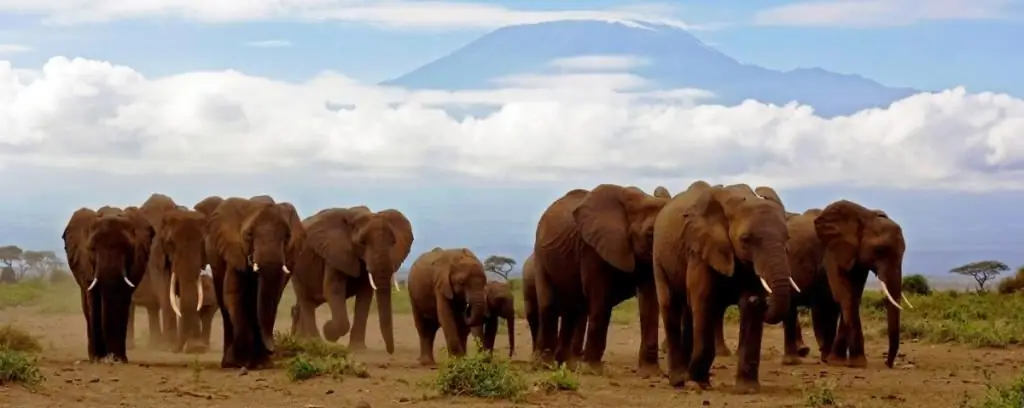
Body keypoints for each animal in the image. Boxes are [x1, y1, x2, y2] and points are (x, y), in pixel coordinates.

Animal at [61, 207, 152, 360]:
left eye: (128, 248)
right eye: (91, 248)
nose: (110, 357)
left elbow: (122, 300)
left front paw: (119, 359)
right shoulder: (85, 264)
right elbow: (92, 299)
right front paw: (98, 359)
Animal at [203, 195, 299, 369]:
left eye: (288, 236)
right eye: (249, 235)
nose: (273, 349)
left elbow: (273, 298)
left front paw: (261, 364)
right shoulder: (234, 252)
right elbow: (234, 294)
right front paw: (239, 362)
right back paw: (228, 363)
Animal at [288, 206, 411, 352]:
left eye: (393, 242)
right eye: (362, 242)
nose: (390, 351)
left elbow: (365, 295)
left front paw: (359, 349)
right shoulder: (335, 252)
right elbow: (334, 290)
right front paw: (328, 332)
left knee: (309, 303)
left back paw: (302, 340)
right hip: (296, 267)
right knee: (306, 300)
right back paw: (315, 342)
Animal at [532, 184, 667, 375]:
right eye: (650, 234)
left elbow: (650, 300)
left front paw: (650, 373)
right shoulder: (592, 248)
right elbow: (600, 297)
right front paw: (592, 370)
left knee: (573, 309)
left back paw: (568, 365)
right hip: (540, 256)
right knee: (549, 305)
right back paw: (546, 365)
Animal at [655, 180, 798, 391]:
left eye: (787, 238)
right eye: (746, 239)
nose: (761, 300)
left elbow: (748, 309)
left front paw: (747, 390)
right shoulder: (700, 249)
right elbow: (704, 300)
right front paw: (697, 383)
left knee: (688, 309)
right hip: (658, 254)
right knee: (670, 302)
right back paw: (679, 380)